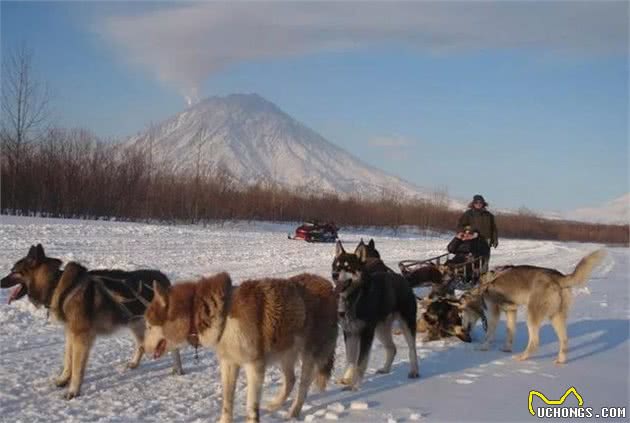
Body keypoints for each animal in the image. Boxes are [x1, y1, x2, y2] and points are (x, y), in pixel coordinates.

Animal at [1, 243, 185, 400]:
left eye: (14, 271)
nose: (0, 282)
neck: (56, 284)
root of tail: (163, 279)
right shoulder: (71, 334)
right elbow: (68, 360)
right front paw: (63, 380)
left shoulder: (81, 338)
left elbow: (77, 367)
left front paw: (73, 391)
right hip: (135, 323)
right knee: (141, 345)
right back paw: (134, 364)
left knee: (173, 348)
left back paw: (178, 369)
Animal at [145, 274, 338, 422]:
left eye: (148, 326)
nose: (142, 348)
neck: (223, 316)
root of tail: (328, 285)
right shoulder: (229, 364)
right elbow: (227, 401)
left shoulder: (255, 368)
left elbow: (251, 409)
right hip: (285, 354)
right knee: (290, 380)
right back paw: (275, 405)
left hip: (309, 356)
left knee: (303, 387)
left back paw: (293, 412)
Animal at [330, 242, 420, 390]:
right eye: (336, 266)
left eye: (348, 267)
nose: (335, 275)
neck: (356, 297)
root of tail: (402, 279)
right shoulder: (349, 332)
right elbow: (350, 359)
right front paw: (347, 379)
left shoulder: (366, 333)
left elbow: (360, 362)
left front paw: (355, 385)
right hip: (380, 330)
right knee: (392, 348)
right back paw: (385, 369)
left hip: (406, 324)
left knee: (412, 349)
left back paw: (414, 371)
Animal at [478, 250, 608, 366]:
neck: (490, 278)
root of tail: (557, 276)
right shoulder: (511, 311)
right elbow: (510, 331)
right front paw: (507, 348)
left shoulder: (494, 312)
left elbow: (489, 333)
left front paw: (483, 347)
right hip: (556, 317)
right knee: (564, 340)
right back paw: (560, 360)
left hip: (532, 315)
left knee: (535, 342)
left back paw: (522, 357)